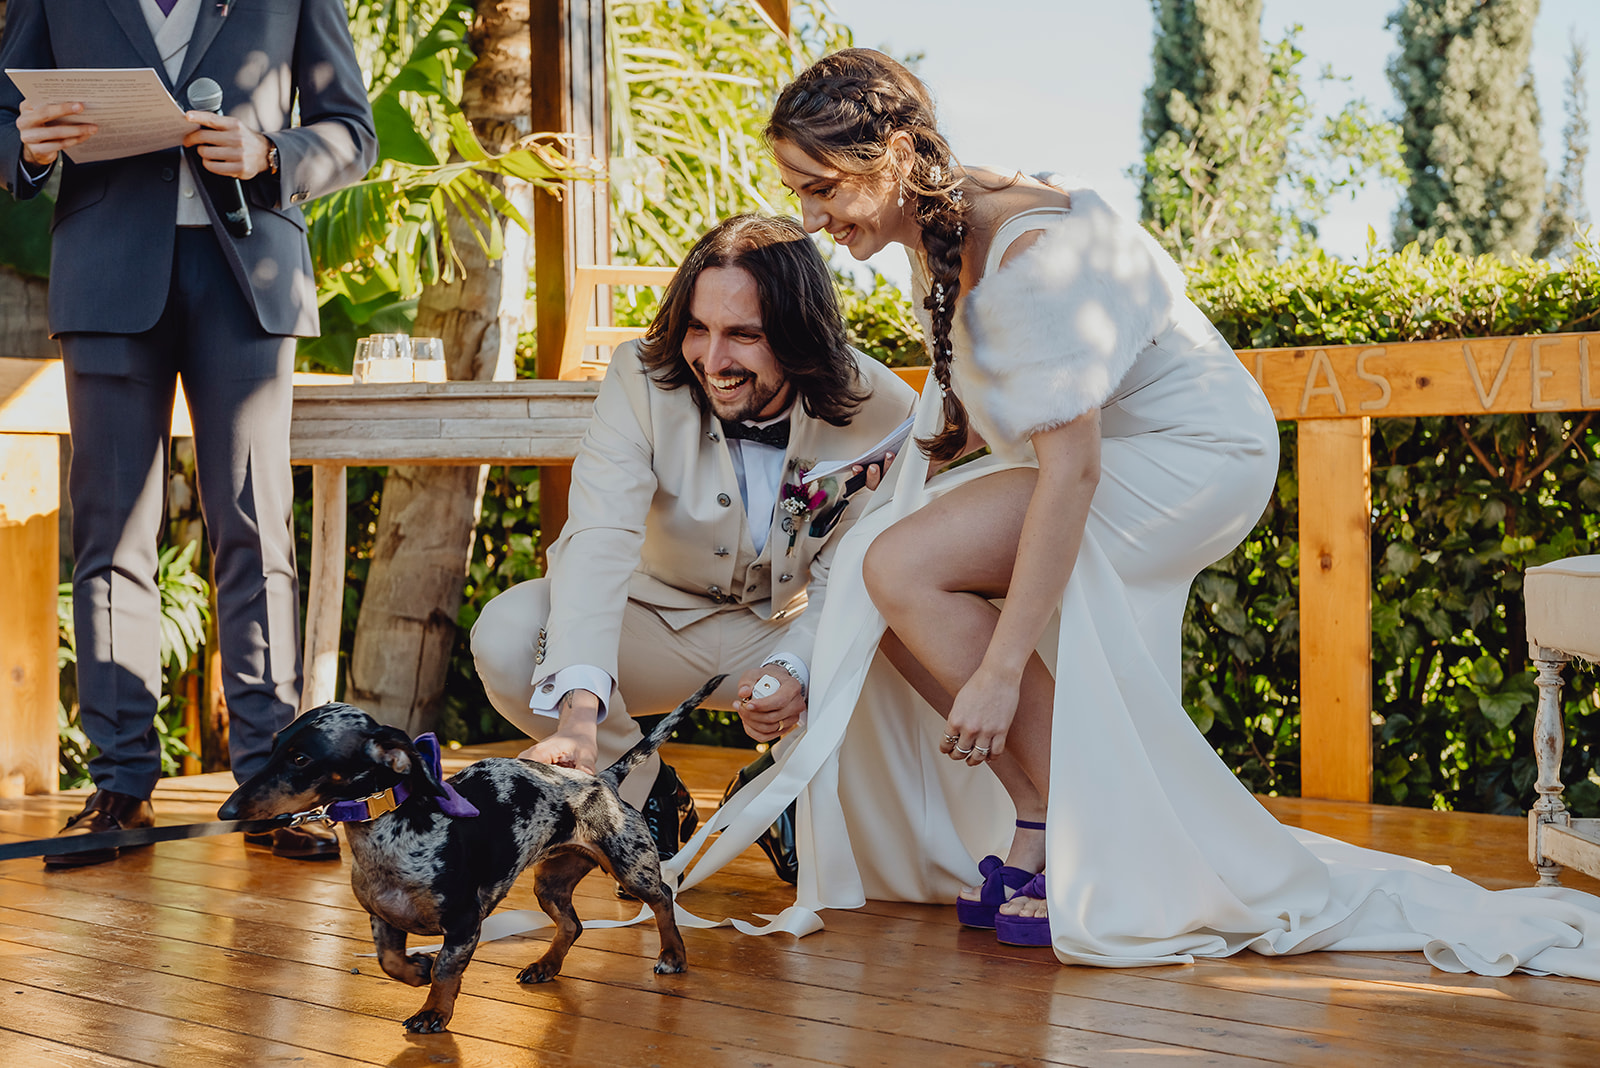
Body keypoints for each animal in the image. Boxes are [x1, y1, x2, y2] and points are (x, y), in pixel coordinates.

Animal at [219, 676, 723, 1033]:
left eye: (301, 758)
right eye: (274, 747)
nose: (227, 811)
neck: (387, 838)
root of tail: (601, 779)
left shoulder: (464, 924)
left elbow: (446, 970)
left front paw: (433, 1012)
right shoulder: (383, 919)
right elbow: (391, 963)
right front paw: (417, 970)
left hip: (631, 865)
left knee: (663, 900)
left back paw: (673, 955)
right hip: (549, 883)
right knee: (573, 925)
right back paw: (545, 966)